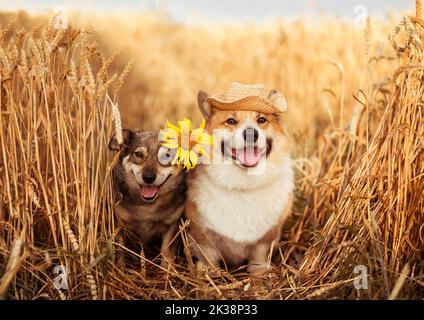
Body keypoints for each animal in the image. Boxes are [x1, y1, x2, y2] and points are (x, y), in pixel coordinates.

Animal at [108, 129, 185, 264]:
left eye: (167, 155)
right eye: (138, 154)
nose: (148, 178)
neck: (147, 207)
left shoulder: (172, 225)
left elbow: (166, 253)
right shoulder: (119, 224)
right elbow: (120, 252)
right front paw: (119, 266)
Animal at [187, 84, 294, 274]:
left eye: (261, 120)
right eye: (230, 121)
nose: (251, 133)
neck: (244, 185)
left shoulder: (266, 238)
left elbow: (259, 255)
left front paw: (259, 274)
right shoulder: (202, 236)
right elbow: (208, 257)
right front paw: (206, 273)